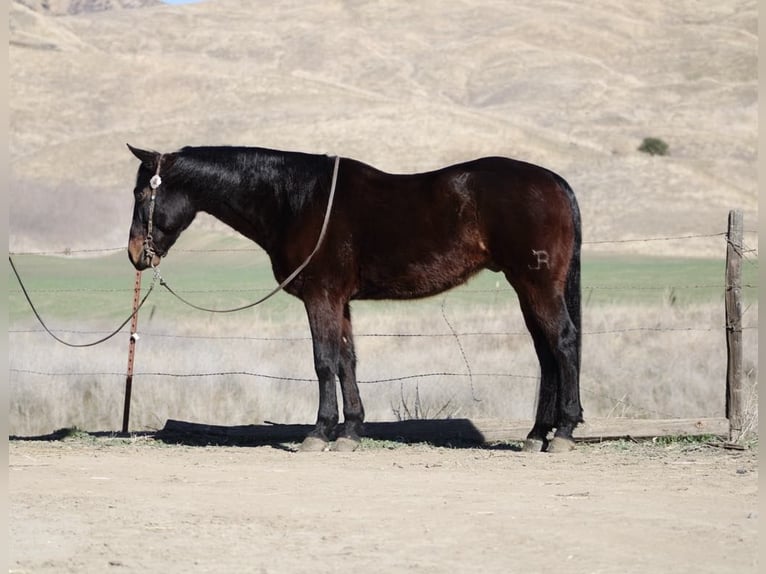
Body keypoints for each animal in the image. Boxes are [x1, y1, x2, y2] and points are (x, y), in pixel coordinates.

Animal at [127, 145, 584, 454]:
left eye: (141, 195)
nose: (135, 254)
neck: (295, 201)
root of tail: (557, 183)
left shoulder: (321, 296)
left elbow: (323, 361)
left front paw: (318, 433)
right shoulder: (340, 302)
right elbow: (347, 360)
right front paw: (349, 433)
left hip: (537, 285)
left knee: (563, 343)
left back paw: (562, 432)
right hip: (527, 288)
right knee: (546, 352)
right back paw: (536, 435)